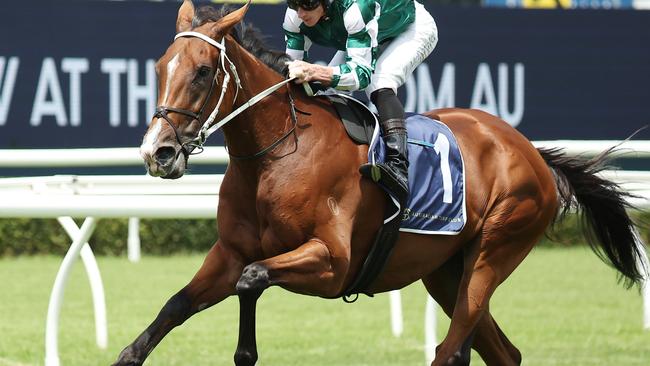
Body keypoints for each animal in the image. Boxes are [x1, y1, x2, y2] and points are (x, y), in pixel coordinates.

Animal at [111, 1, 644, 364]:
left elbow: (253, 278)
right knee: (502, 353)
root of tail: (530, 150)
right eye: (159, 68)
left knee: (452, 350)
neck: (277, 156)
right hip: (445, 271)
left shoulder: (332, 263)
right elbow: (175, 307)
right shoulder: (229, 252)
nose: (157, 152)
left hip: (495, 250)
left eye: (203, 72)